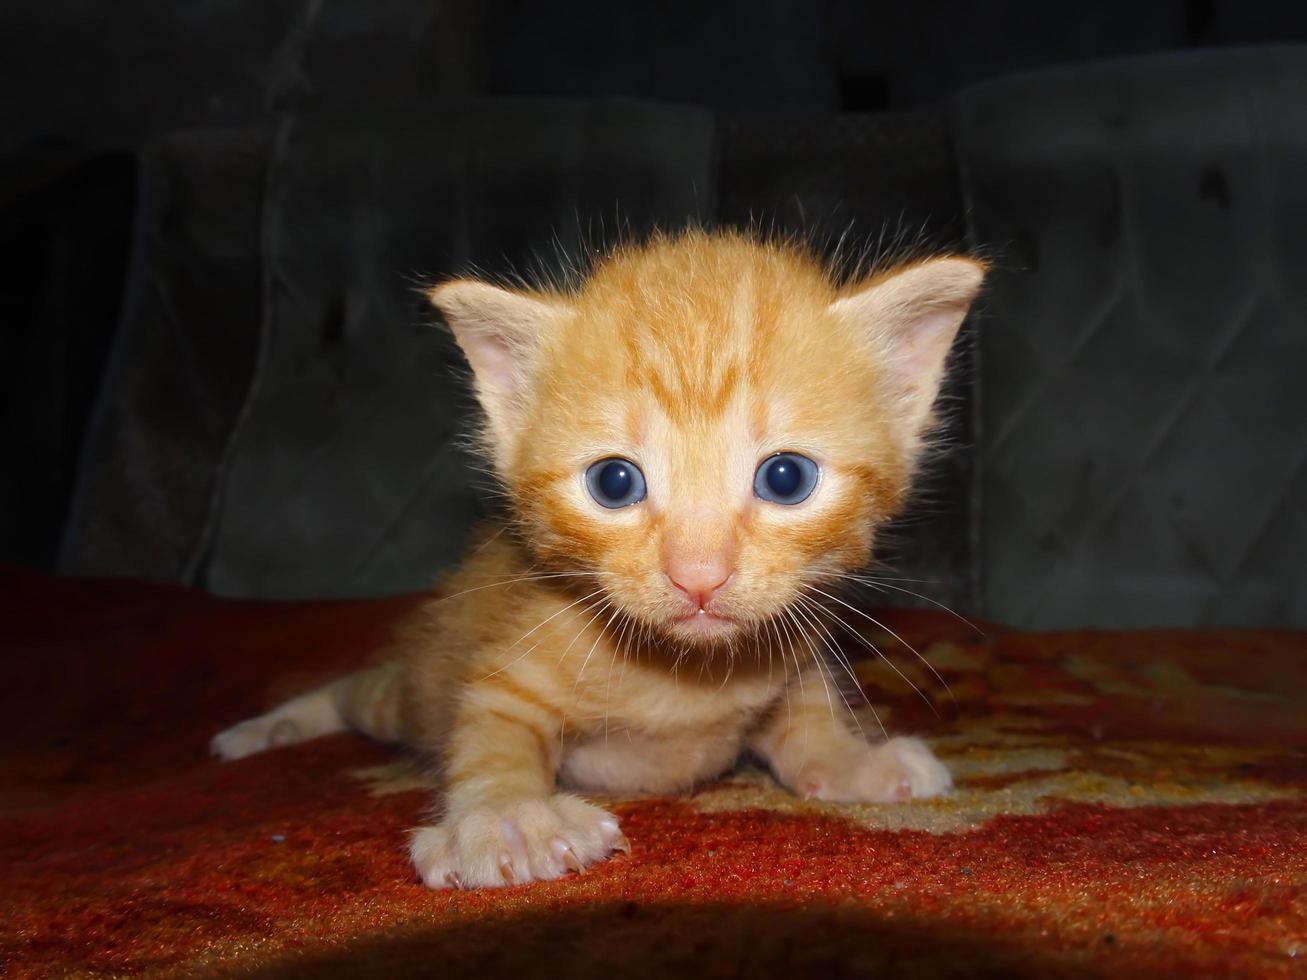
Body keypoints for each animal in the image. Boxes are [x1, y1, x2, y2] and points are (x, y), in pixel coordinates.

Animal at [214, 229, 982, 888]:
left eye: (785, 478)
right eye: (614, 483)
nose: (698, 576)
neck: (688, 680)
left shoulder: (789, 652)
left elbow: (807, 716)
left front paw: (850, 761)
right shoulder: (512, 664)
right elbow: (492, 734)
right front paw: (506, 818)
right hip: (409, 694)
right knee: (358, 690)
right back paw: (263, 729)